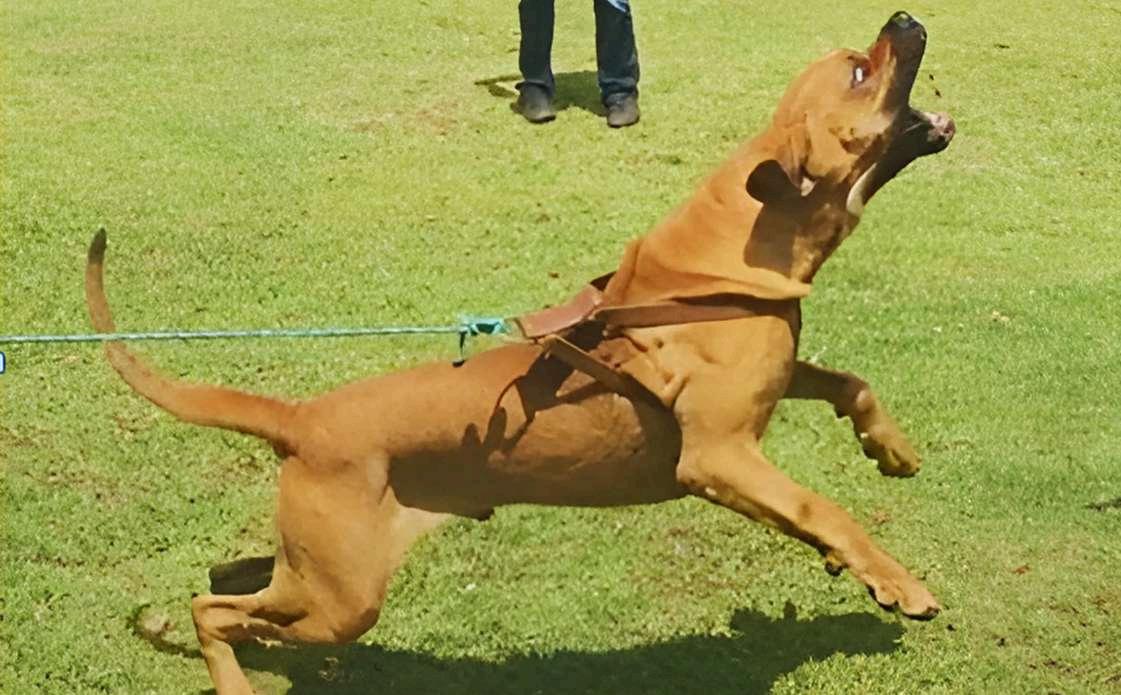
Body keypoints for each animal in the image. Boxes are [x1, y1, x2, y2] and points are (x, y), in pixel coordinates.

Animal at [86, 12, 953, 694]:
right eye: (859, 69)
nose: (905, 16)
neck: (740, 241)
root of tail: (299, 419)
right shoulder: (717, 455)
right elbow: (822, 507)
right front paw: (892, 579)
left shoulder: (774, 385)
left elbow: (849, 382)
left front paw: (891, 451)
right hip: (341, 598)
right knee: (214, 609)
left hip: (315, 572)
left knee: (228, 579)